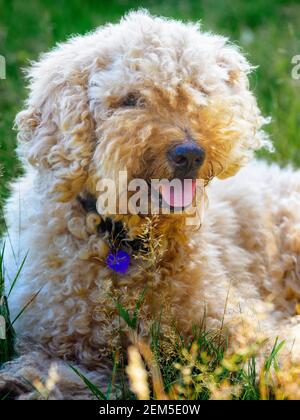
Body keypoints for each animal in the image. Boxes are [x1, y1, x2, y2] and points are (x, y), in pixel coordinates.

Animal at [0, 9, 300, 398]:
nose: (190, 154)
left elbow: (273, 358)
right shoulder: (63, 344)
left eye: (200, 92)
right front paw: (21, 380)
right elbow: (61, 373)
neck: (127, 241)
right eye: (130, 100)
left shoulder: (238, 323)